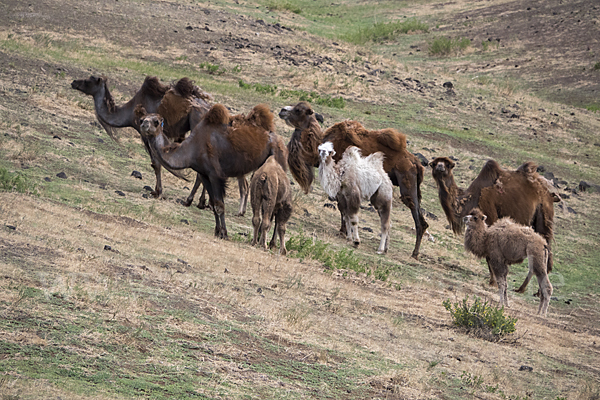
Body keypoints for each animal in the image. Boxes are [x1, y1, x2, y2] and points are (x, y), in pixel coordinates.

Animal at [69, 75, 253, 214]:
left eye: (89, 80)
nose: (74, 82)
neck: (128, 112)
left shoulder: (145, 132)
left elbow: (155, 163)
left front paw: (157, 192)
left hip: (196, 123)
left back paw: (191, 200)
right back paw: (202, 202)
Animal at [137, 104, 288, 239]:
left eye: (156, 122)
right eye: (142, 119)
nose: (144, 125)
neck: (191, 150)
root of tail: (280, 140)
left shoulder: (215, 175)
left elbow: (219, 205)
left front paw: (224, 234)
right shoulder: (204, 175)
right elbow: (214, 204)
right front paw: (217, 231)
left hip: (278, 157)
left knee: (278, 205)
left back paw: (271, 243)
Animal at [278, 101, 428, 260]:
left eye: (298, 110)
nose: (282, 110)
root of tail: (417, 163)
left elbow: (343, 209)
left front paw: (344, 232)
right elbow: (344, 209)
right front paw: (346, 233)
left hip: (407, 182)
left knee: (417, 218)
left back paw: (414, 252)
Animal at [432, 156, 556, 290]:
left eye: (448, 164)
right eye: (433, 163)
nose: (440, 166)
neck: (472, 198)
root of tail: (548, 189)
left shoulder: (490, 217)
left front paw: (495, 282)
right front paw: (493, 281)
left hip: (543, 213)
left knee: (546, 247)